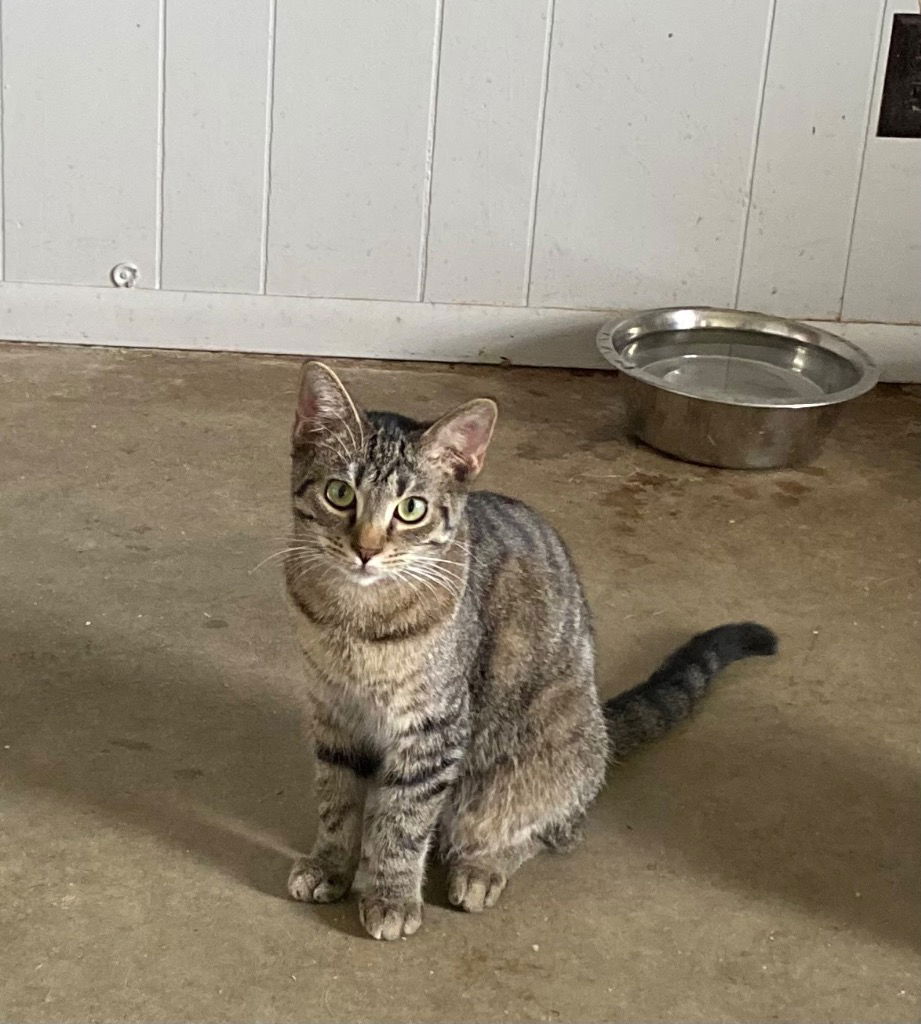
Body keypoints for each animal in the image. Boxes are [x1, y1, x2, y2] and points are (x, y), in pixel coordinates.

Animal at [282, 362, 778, 942]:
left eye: (411, 509)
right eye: (340, 493)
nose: (365, 549)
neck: (355, 618)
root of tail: (602, 726)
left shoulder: (434, 727)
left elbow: (403, 822)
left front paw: (391, 894)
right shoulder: (332, 711)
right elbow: (337, 800)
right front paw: (331, 865)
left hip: (534, 763)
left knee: (546, 829)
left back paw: (482, 867)